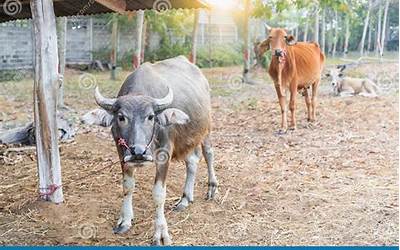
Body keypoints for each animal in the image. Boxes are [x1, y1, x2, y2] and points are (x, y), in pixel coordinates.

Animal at [83, 55, 219, 245]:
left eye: (151, 116)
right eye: (121, 117)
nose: (138, 152)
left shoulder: (164, 153)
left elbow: (158, 194)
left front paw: (160, 233)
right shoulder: (122, 153)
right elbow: (128, 186)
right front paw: (125, 220)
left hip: (206, 128)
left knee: (208, 153)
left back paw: (212, 188)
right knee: (192, 161)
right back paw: (185, 198)